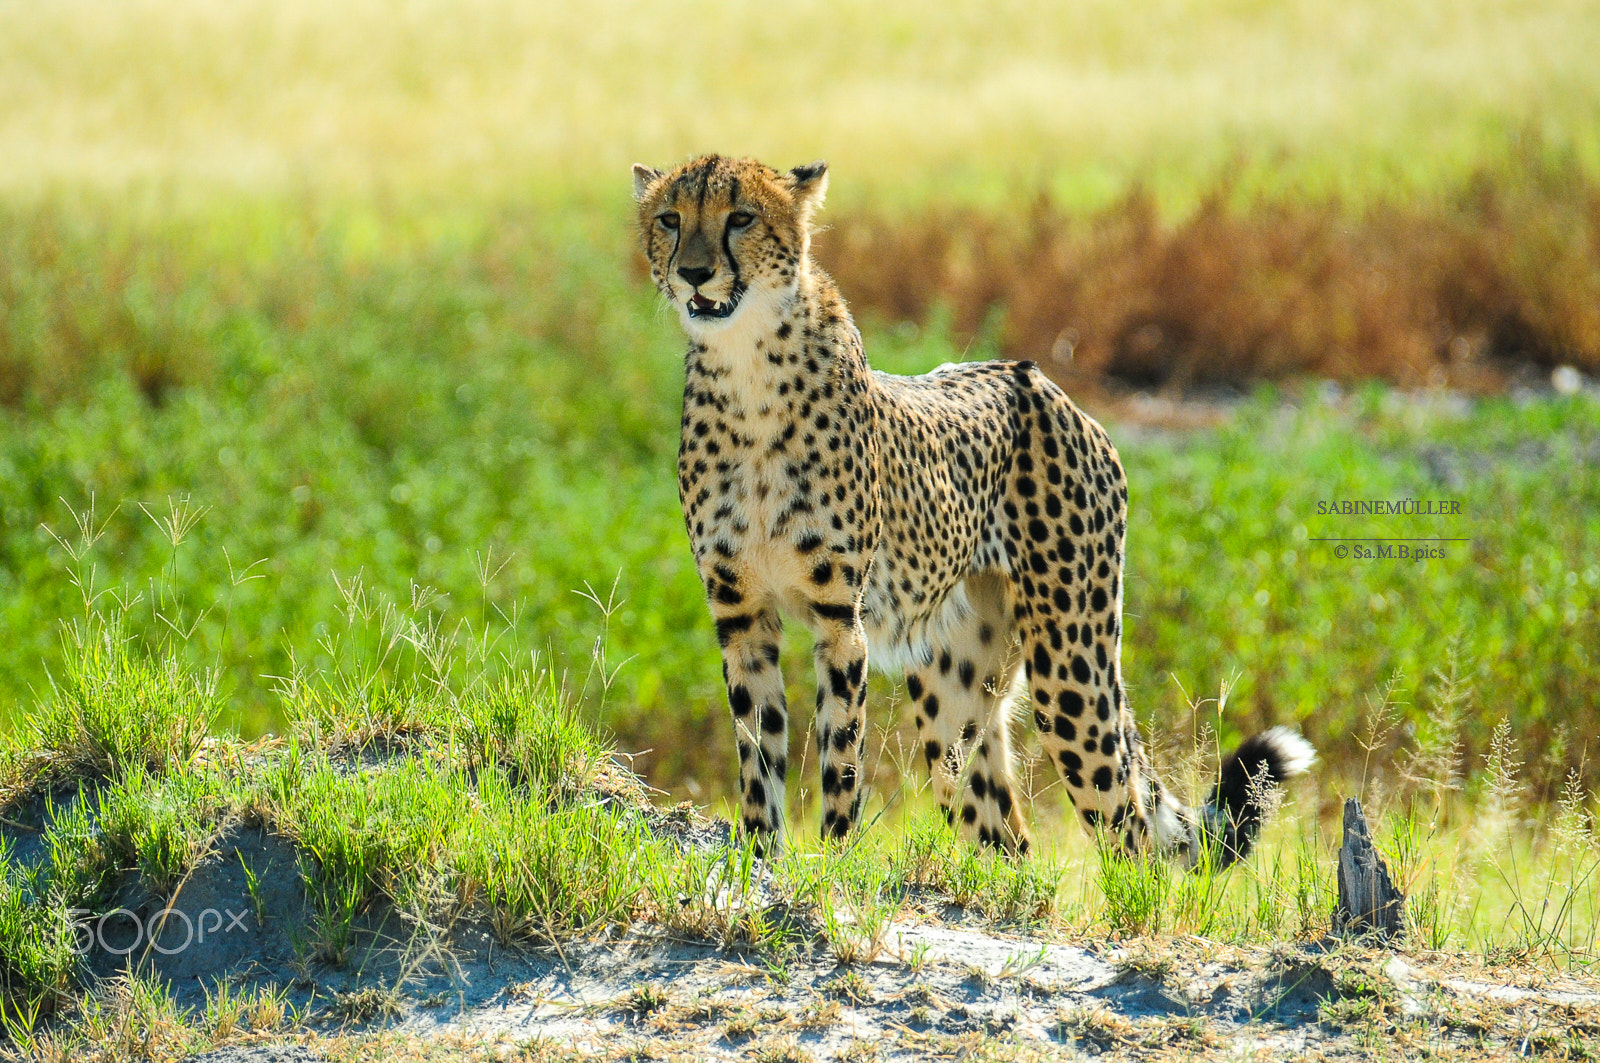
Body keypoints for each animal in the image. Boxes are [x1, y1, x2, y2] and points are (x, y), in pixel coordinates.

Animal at [631, 153, 1314, 866]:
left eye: (741, 218)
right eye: (670, 219)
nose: (694, 272)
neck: (747, 372)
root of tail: (1041, 379)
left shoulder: (839, 617)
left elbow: (840, 757)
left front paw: (833, 861)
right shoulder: (741, 613)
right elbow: (757, 753)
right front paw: (760, 855)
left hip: (1071, 669)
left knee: (1125, 825)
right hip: (954, 687)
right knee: (1005, 833)